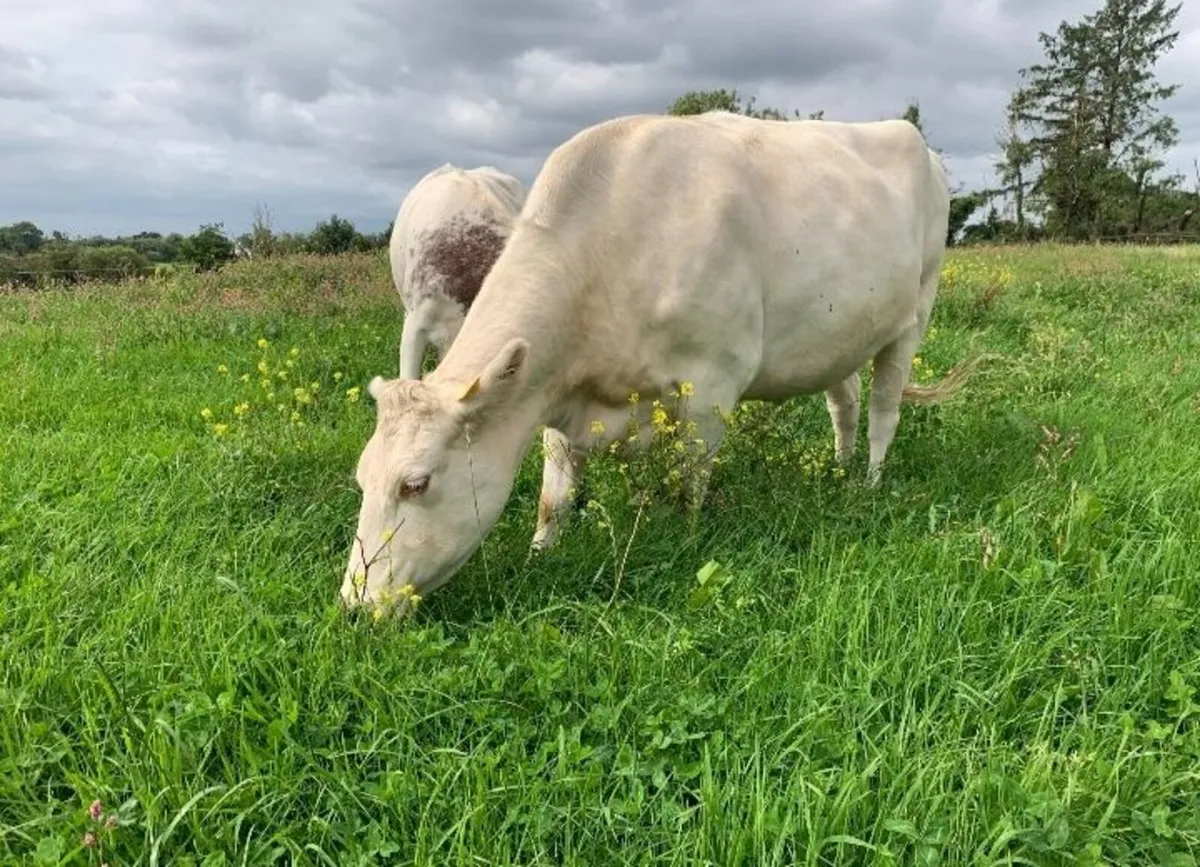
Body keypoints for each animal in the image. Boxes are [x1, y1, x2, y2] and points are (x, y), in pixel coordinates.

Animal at [341, 110, 962, 614]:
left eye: (415, 484)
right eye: (362, 478)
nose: (353, 604)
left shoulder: (713, 385)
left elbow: (688, 485)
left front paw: (686, 542)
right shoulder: (557, 396)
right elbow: (553, 498)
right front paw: (540, 554)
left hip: (913, 316)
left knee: (883, 411)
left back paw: (870, 482)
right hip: (840, 333)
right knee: (845, 402)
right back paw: (838, 468)